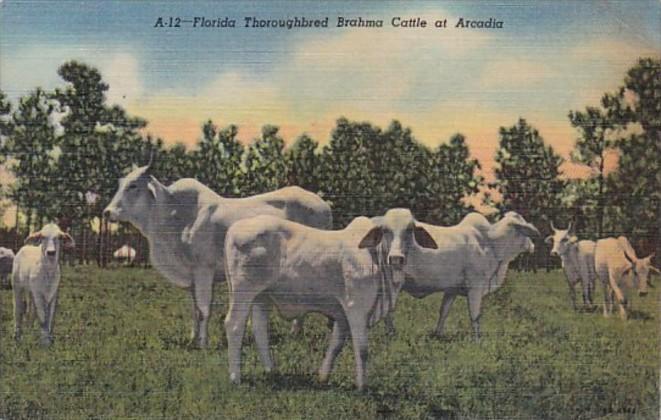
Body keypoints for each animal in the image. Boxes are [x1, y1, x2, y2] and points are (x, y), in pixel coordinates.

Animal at [104, 164, 332, 348]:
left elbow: (204, 309)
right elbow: (195, 309)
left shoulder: (204, 270)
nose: (107, 212)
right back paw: (297, 334)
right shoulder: (192, 276)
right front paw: (192, 338)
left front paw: (203, 344)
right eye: (121, 183)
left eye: (133, 185)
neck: (173, 214)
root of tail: (323, 204)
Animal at [223, 209, 438, 390]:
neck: (375, 258)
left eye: (410, 230)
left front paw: (323, 376)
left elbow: (336, 344)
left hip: (262, 296)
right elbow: (362, 349)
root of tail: (234, 229)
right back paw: (235, 378)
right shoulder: (356, 307)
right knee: (234, 325)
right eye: (385, 230)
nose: (396, 258)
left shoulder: (342, 312)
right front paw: (362, 386)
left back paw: (271, 370)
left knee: (259, 329)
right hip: (244, 291)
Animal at [378, 212, 540, 340]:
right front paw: (477, 340)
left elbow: (444, 312)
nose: (533, 246)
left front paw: (438, 334)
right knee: (388, 312)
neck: (489, 242)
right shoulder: (476, 287)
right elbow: (475, 315)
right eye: (523, 228)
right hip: (393, 284)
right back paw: (391, 336)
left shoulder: (452, 290)